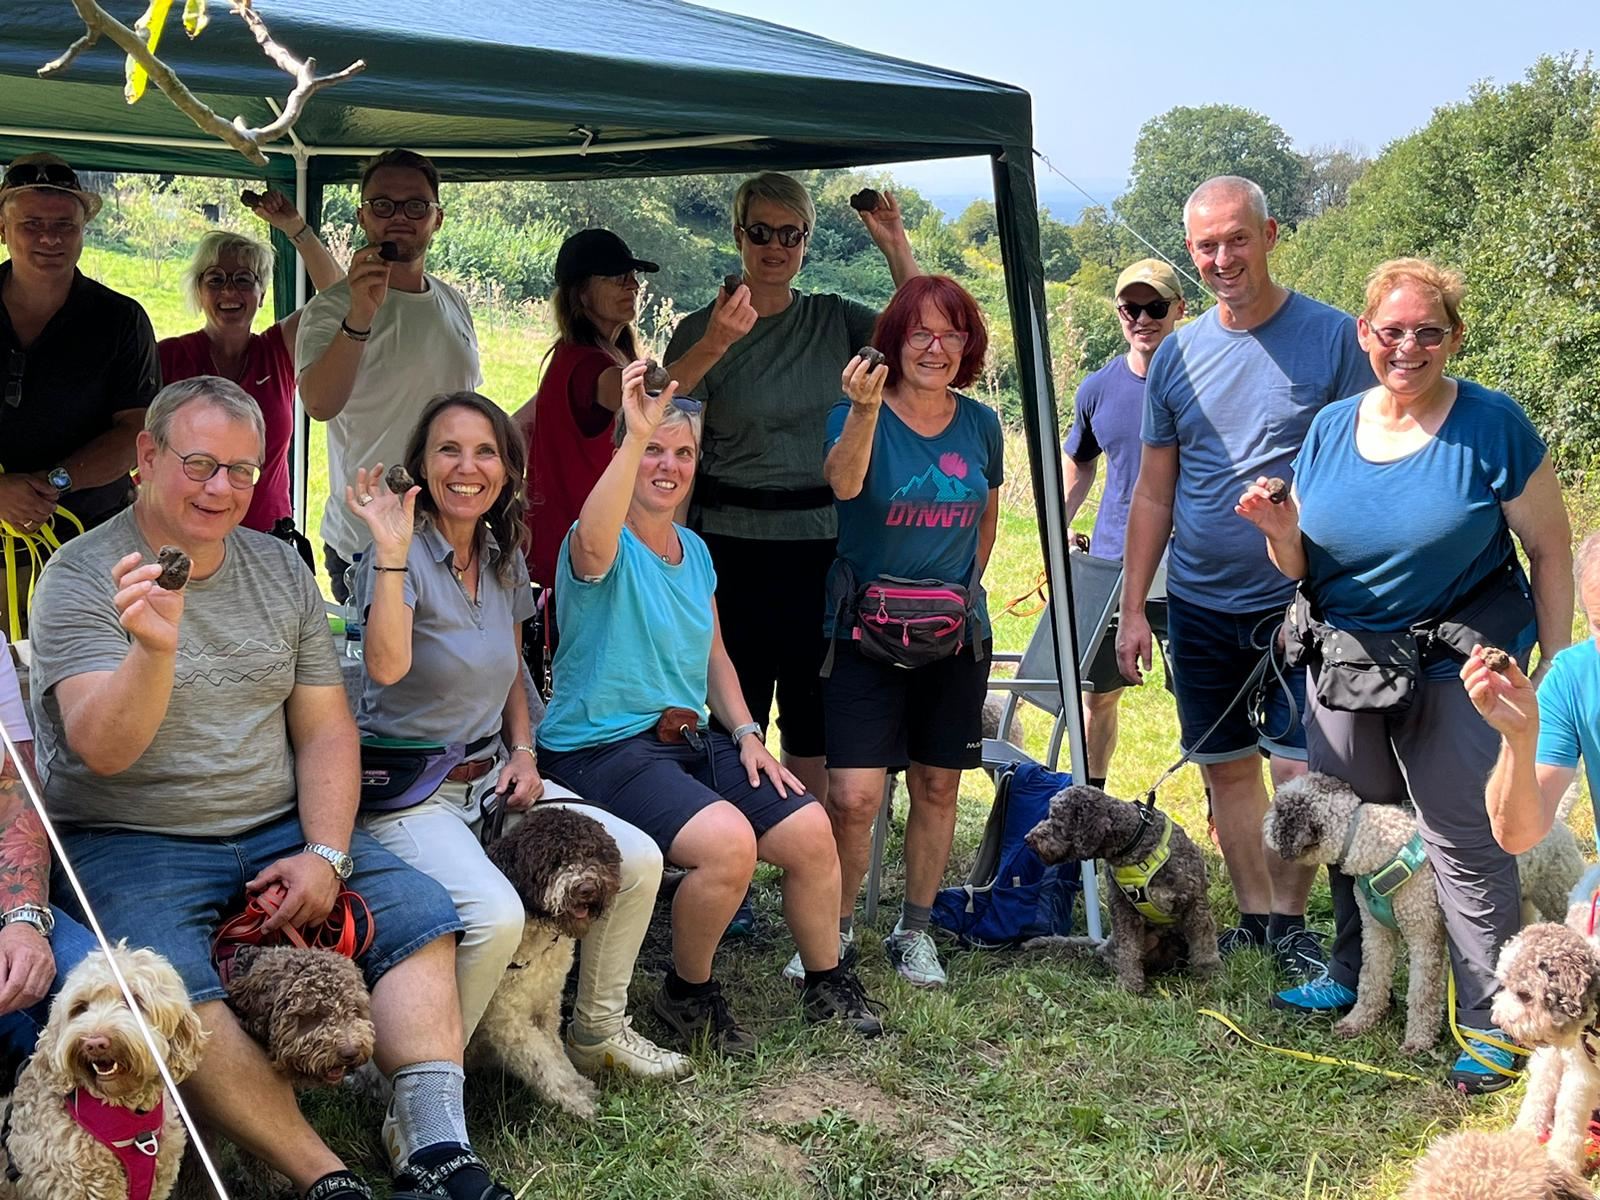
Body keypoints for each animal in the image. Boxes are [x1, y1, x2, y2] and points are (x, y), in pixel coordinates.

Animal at [467, 805, 622, 1117]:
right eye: (553, 861)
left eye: (592, 853)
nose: (586, 888)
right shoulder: (506, 1022)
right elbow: (542, 1063)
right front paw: (575, 1101)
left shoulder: (546, 1005)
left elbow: (556, 1052)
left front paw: (579, 1084)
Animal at [1021, 784, 1219, 993]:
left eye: (1056, 819)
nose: (1028, 838)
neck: (1135, 844)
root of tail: (1104, 942)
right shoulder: (1122, 908)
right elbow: (1128, 949)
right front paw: (1129, 983)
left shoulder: (1194, 901)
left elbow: (1204, 942)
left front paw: (1209, 973)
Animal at [1264, 772, 1585, 1054]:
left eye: (1279, 809)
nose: (1262, 824)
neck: (1369, 839)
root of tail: (1555, 819)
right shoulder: (1375, 932)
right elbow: (1370, 978)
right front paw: (1358, 1021)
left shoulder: (1425, 937)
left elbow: (1422, 993)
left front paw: (1418, 1040)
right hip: (1524, 900)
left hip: (1559, 892)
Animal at [1492, 923, 1600, 1174]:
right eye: (1504, 985)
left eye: (1524, 995)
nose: (1497, 1020)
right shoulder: (1581, 1072)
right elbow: (1569, 1119)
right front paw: (1563, 1165)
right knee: (1539, 1094)